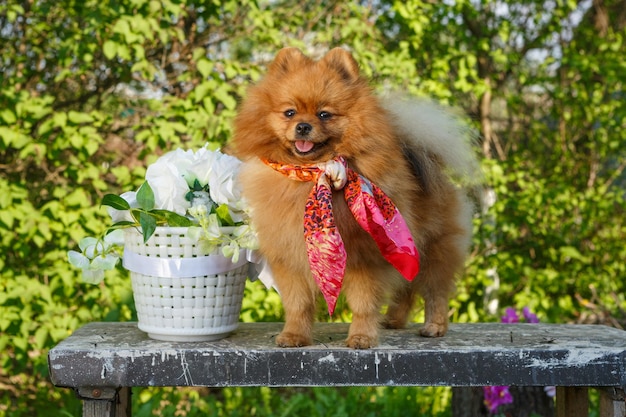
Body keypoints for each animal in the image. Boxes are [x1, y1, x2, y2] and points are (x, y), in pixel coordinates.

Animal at [230, 47, 478, 348]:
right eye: (289, 112)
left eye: (324, 114)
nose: (302, 126)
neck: (314, 173)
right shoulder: (291, 259)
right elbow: (298, 304)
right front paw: (294, 335)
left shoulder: (366, 258)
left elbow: (363, 304)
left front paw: (361, 337)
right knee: (406, 290)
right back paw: (394, 320)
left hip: (431, 248)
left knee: (435, 291)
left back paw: (435, 326)